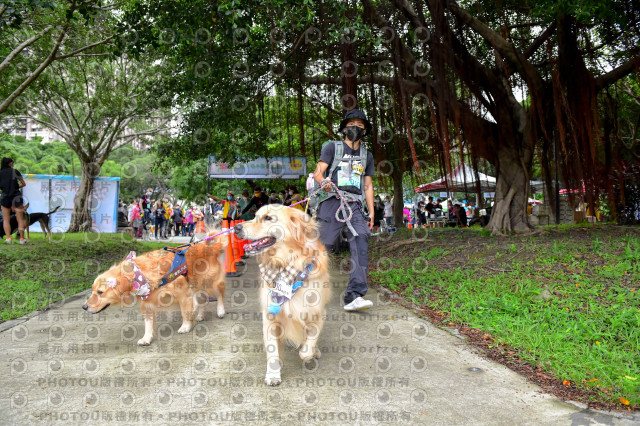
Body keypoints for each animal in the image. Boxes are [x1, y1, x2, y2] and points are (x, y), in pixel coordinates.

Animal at [82, 233, 228, 346]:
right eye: (92, 290)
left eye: (100, 292)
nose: (84, 307)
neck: (140, 274)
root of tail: (209, 246)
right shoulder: (146, 303)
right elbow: (148, 324)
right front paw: (147, 338)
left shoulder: (183, 294)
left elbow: (184, 313)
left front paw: (186, 326)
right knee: (202, 299)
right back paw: (200, 315)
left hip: (211, 283)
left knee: (219, 296)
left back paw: (220, 310)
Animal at [234, 204, 330, 386]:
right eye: (255, 216)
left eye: (268, 218)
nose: (236, 228)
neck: (285, 264)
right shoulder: (270, 316)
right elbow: (272, 350)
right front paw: (273, 374)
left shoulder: (317, 312)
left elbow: (307, 347)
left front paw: (310, 352)